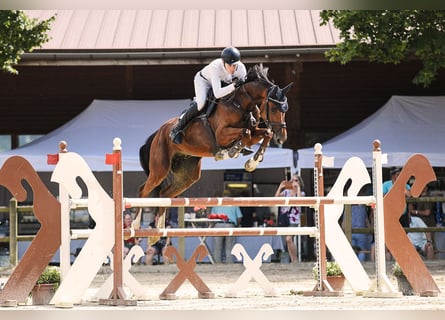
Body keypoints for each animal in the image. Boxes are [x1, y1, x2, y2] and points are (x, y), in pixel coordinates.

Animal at [137, 64, 294, 230]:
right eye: (275, 109)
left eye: (286, 109)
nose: (282, 137)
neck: (241, 104)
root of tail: (158, 133)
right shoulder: (221, 135)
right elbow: (245, 133)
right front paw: (231, 151)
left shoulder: (253, 133)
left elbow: (265, 133)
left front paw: (252, 161)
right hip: (159, 169)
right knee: (143, 191)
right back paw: (135, 225)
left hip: (188, 175)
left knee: (164, 194)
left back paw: (159, 230)